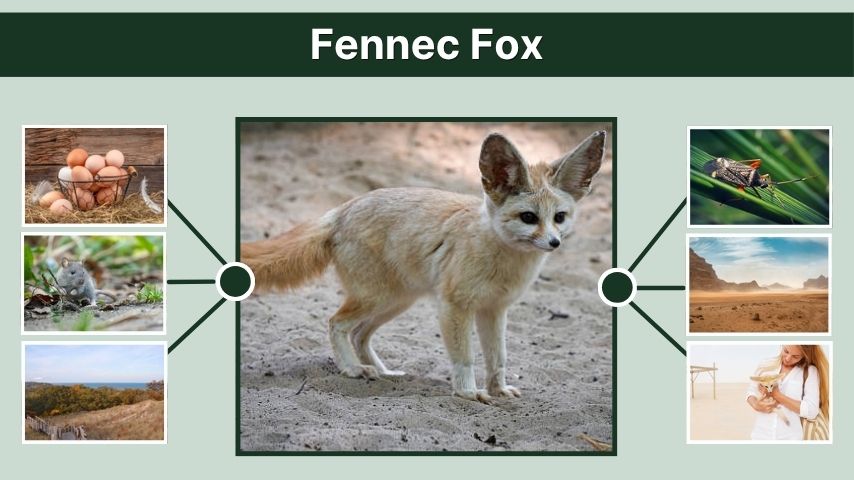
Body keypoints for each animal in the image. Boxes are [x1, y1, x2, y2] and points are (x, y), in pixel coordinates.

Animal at [242, 130, 606, 403]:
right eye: (529, 218)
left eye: (559, 217)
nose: (554, 243)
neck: (501, 256)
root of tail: (342, 208)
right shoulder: (455, 307)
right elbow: (464, 357)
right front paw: (468, 392)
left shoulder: (494, 309)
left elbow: (498, 358)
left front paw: (498, 390)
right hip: (376, 298)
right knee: (337, 324)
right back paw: (352, 370)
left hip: (396, 302)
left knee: (360, 334)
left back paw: (382, 372)